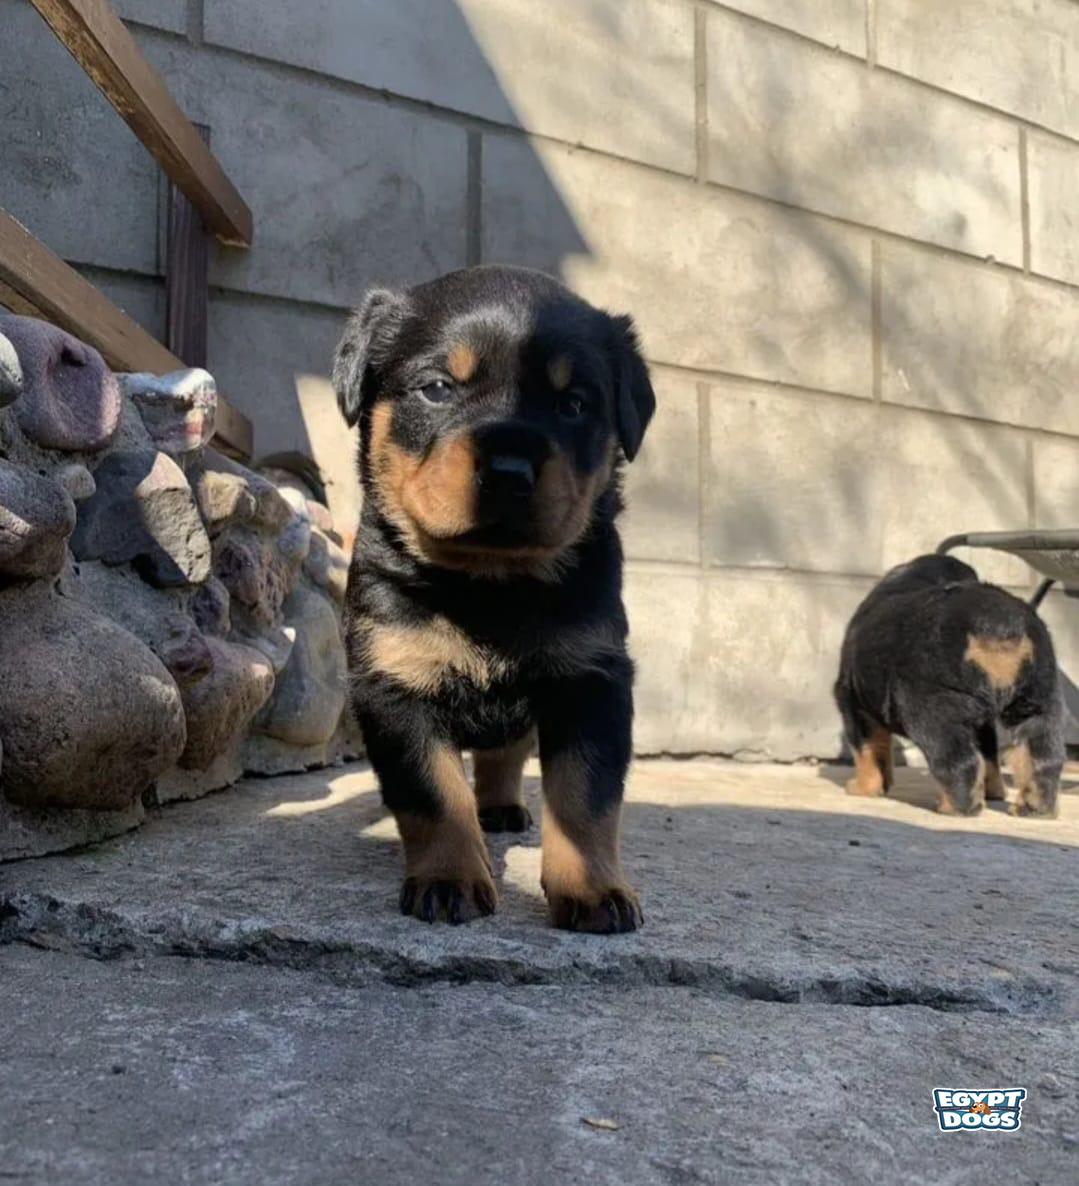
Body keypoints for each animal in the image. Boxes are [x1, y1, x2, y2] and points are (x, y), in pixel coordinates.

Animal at [332, 265, 655, 930]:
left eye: (574, 404)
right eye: (436, 389)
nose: (509, 469)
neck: (489, 584)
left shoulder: (593, 678)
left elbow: (585, 797)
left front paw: (595, 890)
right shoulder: (394, 681)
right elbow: (433, 794)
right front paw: (449, 879)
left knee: (506, 753)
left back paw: (502, 808)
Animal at [835, 554, 1065, 817]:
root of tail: (1001, 628)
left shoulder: (853, 702)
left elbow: (868, 750)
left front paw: (863, 788)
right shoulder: (983, 722)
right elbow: (989, 754)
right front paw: (994, 791)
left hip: (932, 709)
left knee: (957, 760)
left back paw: (953, 808)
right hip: (1038, 699)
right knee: (1041, 756)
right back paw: (1034, 809)